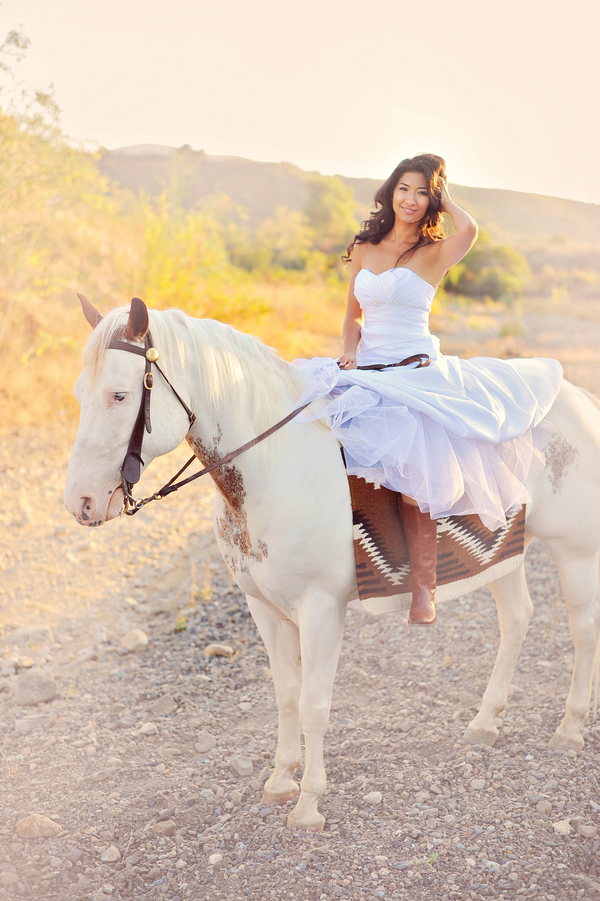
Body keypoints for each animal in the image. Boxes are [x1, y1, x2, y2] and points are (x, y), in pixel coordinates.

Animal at [64, 298, 600, 832]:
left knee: (582, 630)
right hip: (502, 552)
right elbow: (285, 693)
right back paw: (486, 722)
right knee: (517, 618)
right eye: (79, 393)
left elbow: (313, 705)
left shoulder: (321, 609)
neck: (274, 467)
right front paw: (281, 780)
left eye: (118, 395)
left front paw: (308, 804)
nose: (80, 504)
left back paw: (570, 728)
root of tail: (577, 398)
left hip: (574, 551)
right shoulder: (262, 608)